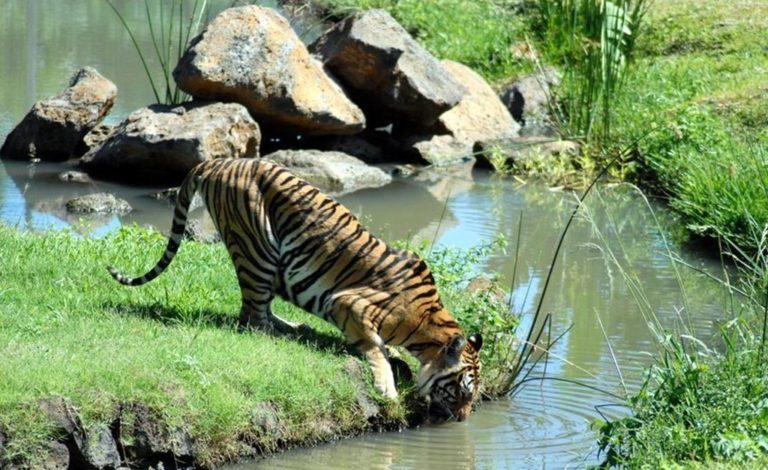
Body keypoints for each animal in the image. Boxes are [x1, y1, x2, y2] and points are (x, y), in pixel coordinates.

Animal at [108, 158, 484, 422]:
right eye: (461, 391)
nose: (462, 420)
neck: (427, 327)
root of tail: (217, 161)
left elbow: (384, 347)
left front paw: (394, 358)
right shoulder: (347, 303)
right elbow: (374, 347)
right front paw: (387, 387)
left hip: (273, 264)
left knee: (259, 309)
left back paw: (296, 326)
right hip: (257, 248)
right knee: (253, 318)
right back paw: (288, 334)